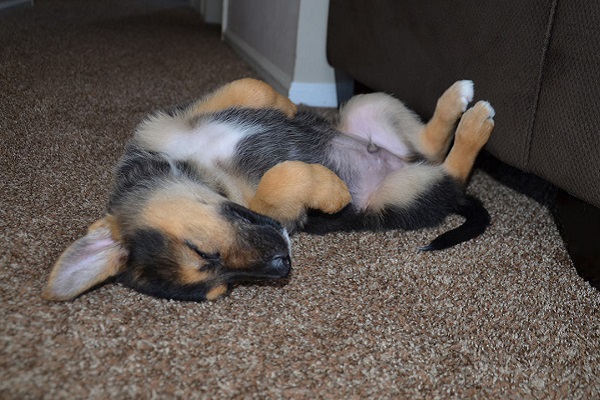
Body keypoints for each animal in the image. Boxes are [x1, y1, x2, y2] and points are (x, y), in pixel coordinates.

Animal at [41, 78, 492, 302]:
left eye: (200, 250)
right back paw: (473, 125)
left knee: (429, 143)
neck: (193, 168)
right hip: (403, 191)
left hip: (368, 104)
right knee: (449, 168)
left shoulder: (175, 121)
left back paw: (461, 104)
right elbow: (282, 179)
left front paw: (288, 106)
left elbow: (251, 86)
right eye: (225, 287)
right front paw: (332, 190)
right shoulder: (276, 212)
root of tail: (401, 161)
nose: (283, 266)